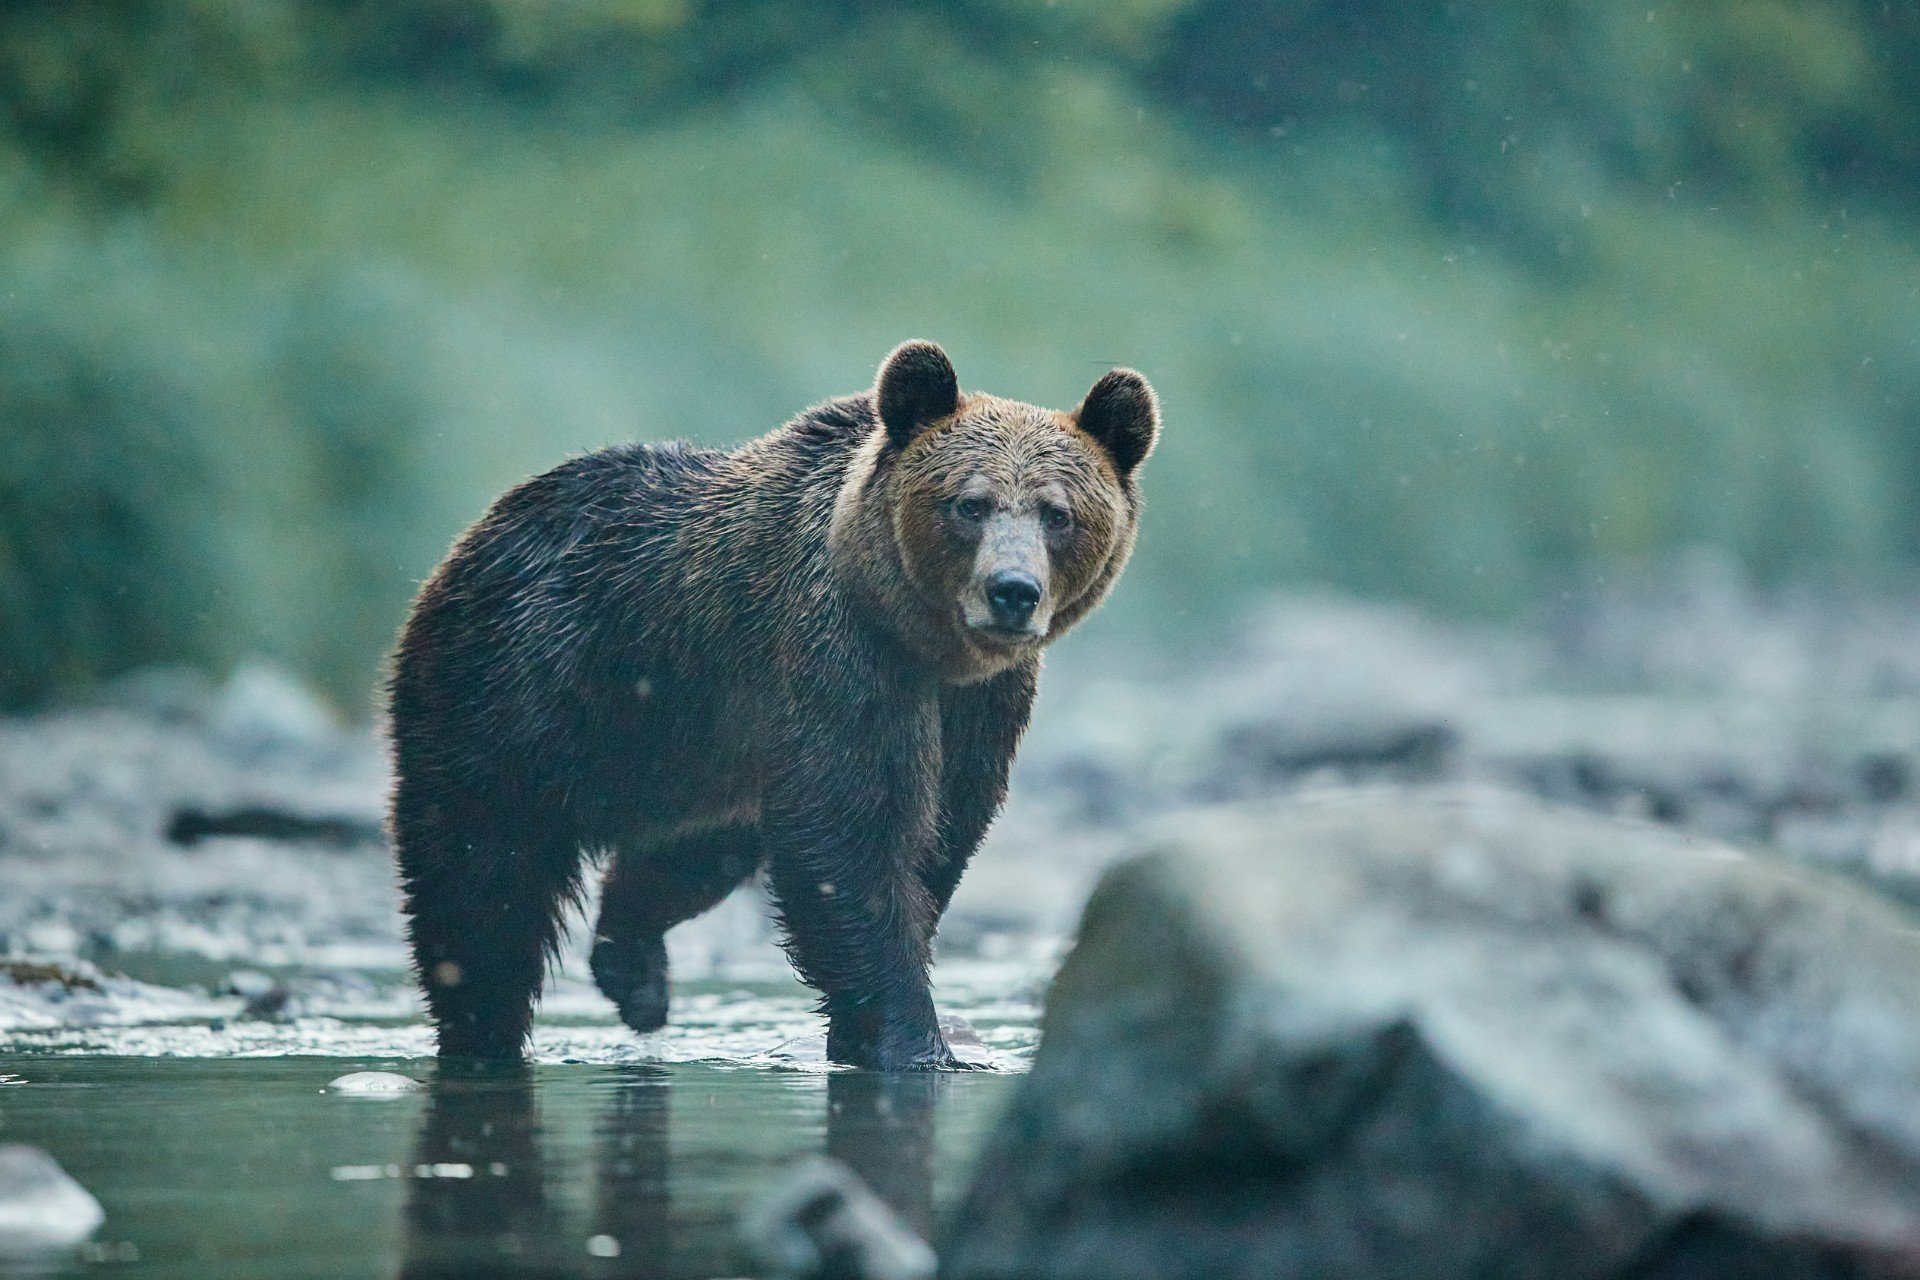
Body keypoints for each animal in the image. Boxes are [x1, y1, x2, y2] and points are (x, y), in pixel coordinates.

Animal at [382, 339, 1144, 1074]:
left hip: (700, 750)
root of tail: (469, 542)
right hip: (520, 692)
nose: (1012, 590)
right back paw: (485, 1029)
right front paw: (914, 1042)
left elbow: (939, 834)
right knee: (484, 880)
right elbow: (852, 842)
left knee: (693, 855)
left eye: (1058, 514)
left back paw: (637, 976)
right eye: (970, 503)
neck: (923, 642)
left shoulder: (979, 706)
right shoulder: (842, 661)